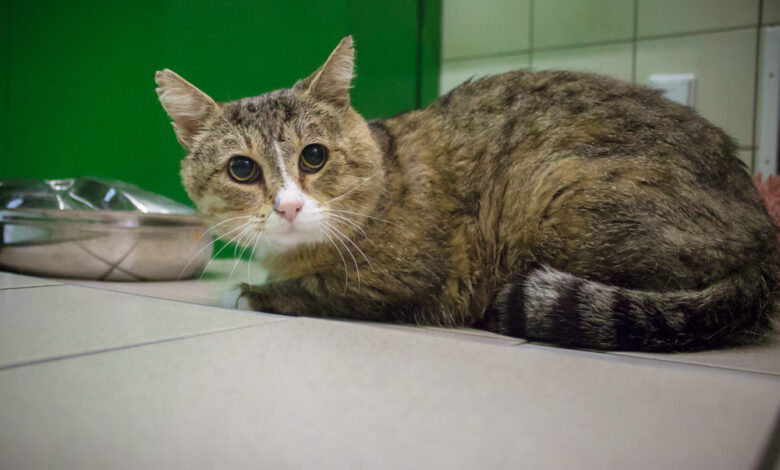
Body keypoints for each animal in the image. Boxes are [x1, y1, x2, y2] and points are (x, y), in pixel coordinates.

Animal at [155, 35, 779, 351]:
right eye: (242, 169)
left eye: (314, 156)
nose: (287, 206)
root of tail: (763, 244)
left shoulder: (409, 278)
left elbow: (322, 289)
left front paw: (254, 292)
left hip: (557, 193)